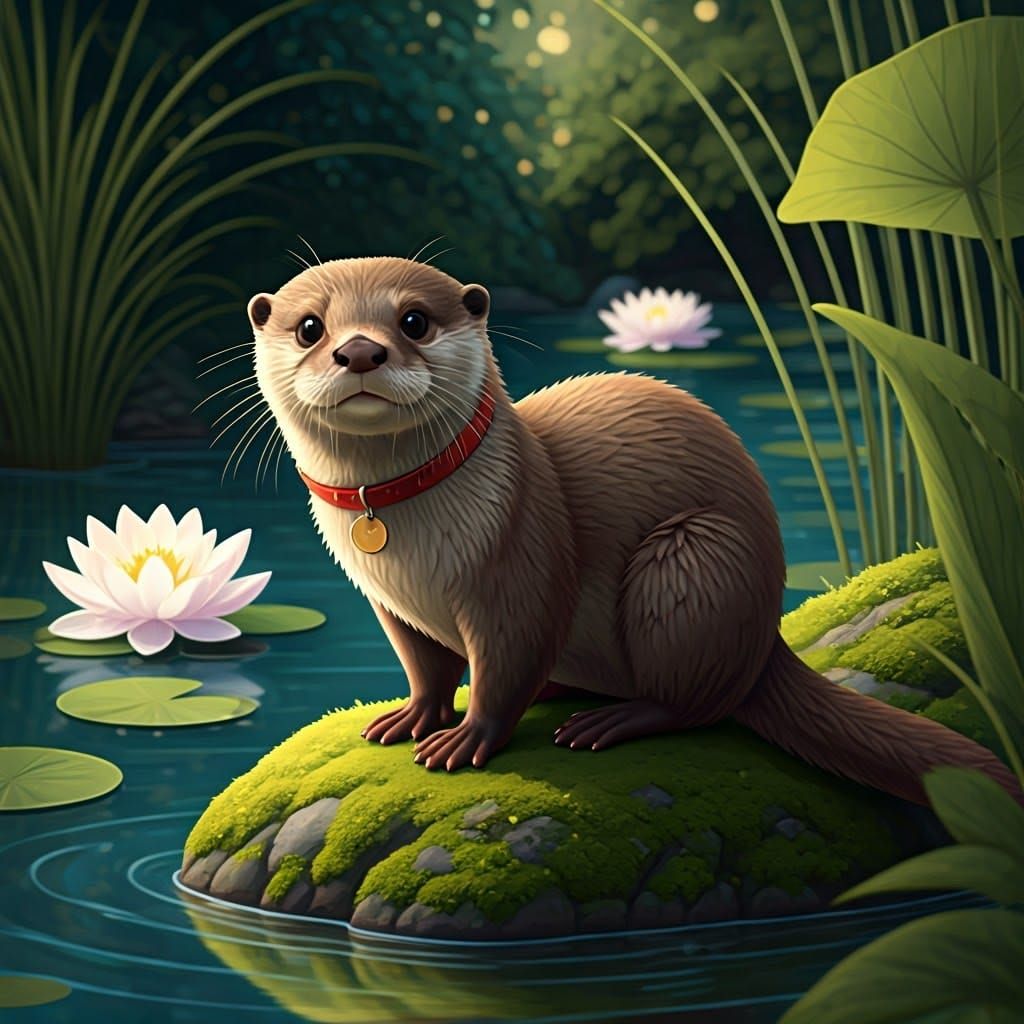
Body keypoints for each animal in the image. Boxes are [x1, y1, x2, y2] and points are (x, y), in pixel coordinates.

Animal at [247, 256, 1020, 807]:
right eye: (310, 327)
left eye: (413, 320)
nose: (359, 352)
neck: (411, 558)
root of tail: (765, 637)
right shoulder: (390, 604)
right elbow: (426, 664)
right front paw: (412, 717)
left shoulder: (522, 556)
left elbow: (507, 662)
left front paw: (465, 739)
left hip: (694, 561)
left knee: (701, 701)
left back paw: (613, 721)